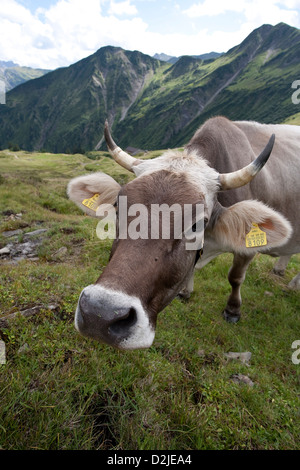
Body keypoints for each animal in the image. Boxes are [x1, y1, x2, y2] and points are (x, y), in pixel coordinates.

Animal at [68, 116, 300, 348]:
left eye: (197, 224)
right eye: (117, 207)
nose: (100, 314)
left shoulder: (246, 249)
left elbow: (235, 277)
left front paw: (233, 310)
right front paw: (185, 291)